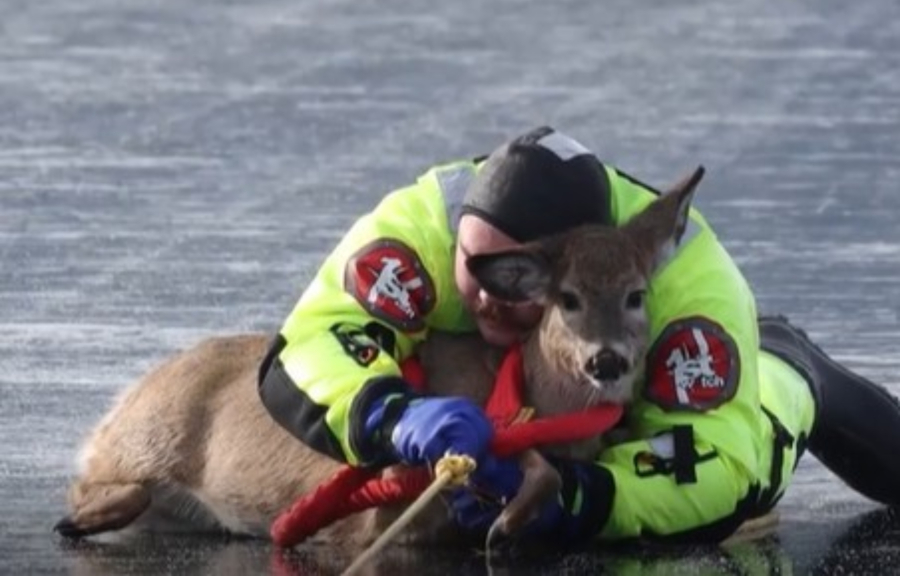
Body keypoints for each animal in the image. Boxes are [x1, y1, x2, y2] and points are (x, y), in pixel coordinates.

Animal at [54, 166, 702, 550]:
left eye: (636, 294)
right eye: (566, 298)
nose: (606, 361)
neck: (522, 397)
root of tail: (124, 398)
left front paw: (508, 522)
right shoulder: (381, 503)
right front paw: (504, 519)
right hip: (144, 440)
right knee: (96, 483)